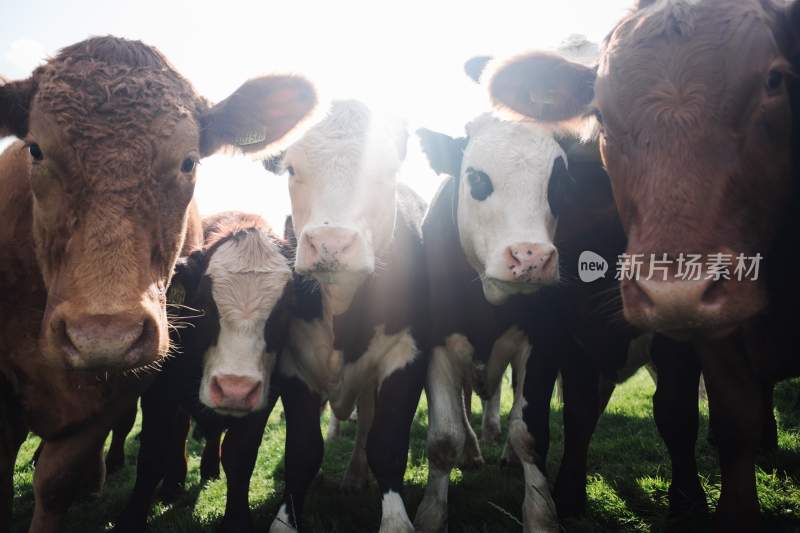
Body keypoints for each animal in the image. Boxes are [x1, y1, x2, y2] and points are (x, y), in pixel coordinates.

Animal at [264, 101, 428, 532]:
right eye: (292, 168)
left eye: (386, 169)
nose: (331, 243)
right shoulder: (294, 363)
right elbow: (303, 451)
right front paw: (284, 519)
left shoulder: (406, 354)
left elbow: (386, 444)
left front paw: (395, 520)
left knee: (367, 423)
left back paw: (355, 476)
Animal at [484, 2, 800, 528]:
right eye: (599, 111)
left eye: (775, 80)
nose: (678, 288)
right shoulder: (570, 326)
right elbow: (580, 410)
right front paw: (569, 495)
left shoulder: (681, 339)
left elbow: (677, 413)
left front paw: (689, 502)